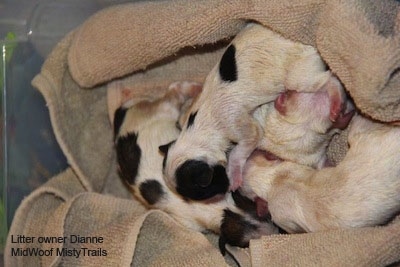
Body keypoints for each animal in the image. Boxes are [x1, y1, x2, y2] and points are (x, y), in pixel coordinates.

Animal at [162, 22, 344, 201]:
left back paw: (336, 102)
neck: (197, 127)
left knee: (330, 79)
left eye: (203, 191)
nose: (224, 195)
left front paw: (234, 176)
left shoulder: (237, 124)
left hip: (299, 76)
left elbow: (242, 147)